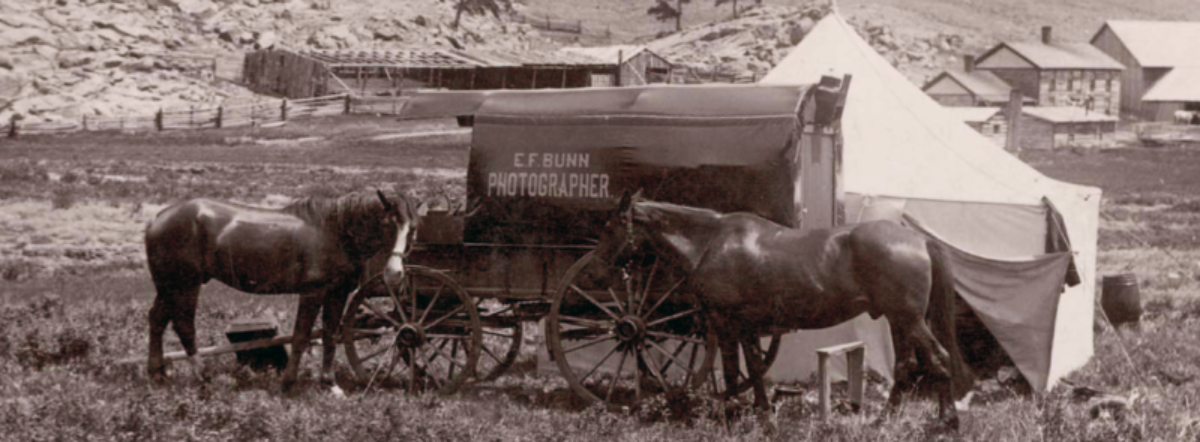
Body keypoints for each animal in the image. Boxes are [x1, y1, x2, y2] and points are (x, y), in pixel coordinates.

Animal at [144, 188, 420, 391]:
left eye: (413, 228)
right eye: (387, 224)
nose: (394, 273)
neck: (334, 232)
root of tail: (157, 218)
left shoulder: (337, 293)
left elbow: (330, 336)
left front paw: (329, 384)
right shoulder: (312, 293)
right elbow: (300, 336)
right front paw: (288, 383)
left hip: (168, 287)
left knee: (157, 320)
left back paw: (158, 374)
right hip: (185, 285)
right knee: (184, 326)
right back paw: (202, 376)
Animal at [592, 192, 974, 429]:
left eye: (610, 227)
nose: (597, 270)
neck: (712, 242)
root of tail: (918, 239)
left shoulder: (728, 323)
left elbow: (738, 370)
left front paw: (742, 415)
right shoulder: (741, 326)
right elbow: (748, 369)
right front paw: (753, 414)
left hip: (910, 320)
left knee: (938, 359)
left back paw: (948, 421)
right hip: (900, 321)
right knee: (907, 366)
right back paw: (886, 418)